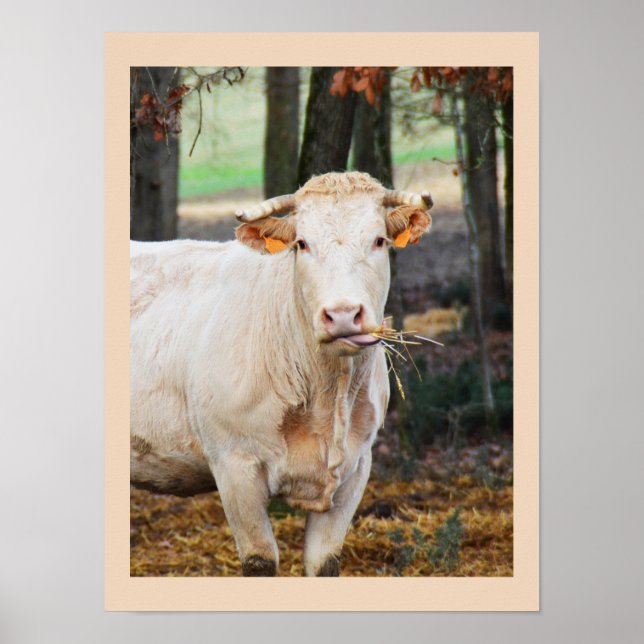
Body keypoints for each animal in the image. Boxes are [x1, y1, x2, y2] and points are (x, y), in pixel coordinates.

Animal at [130, 171, 433, 576]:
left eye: (379, 240)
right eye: (302, 243)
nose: (342, 315)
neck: (327, 398)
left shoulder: (356, 469)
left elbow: (324, 564)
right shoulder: (234, 465)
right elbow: (259, 561)